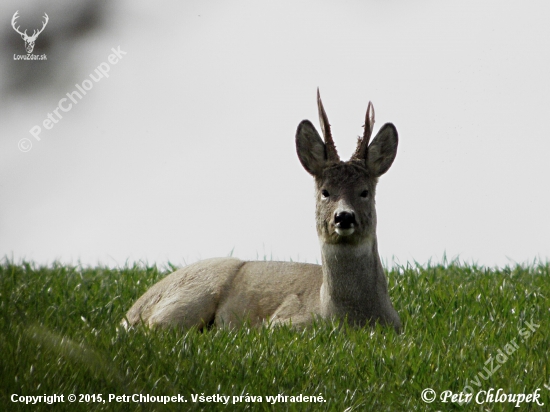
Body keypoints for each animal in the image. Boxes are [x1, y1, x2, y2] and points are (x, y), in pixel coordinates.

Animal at [125, 90, 402, 332]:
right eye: (325, 192)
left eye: (364, 192)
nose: (343, 216)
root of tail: (130, 313)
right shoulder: (283, 321)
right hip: (194, 291)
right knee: (158, 325)